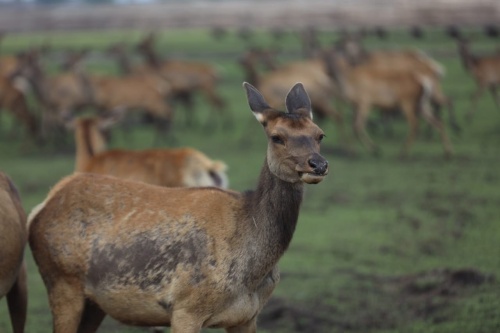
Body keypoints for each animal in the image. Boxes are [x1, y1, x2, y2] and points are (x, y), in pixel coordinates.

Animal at [29, 81, 330, 332]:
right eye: (277, 137)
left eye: (319, 135)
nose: (318, 164)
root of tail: (43, 205)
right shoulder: (186, 308)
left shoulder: (248, 316)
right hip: (62, 280)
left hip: (93, 302)